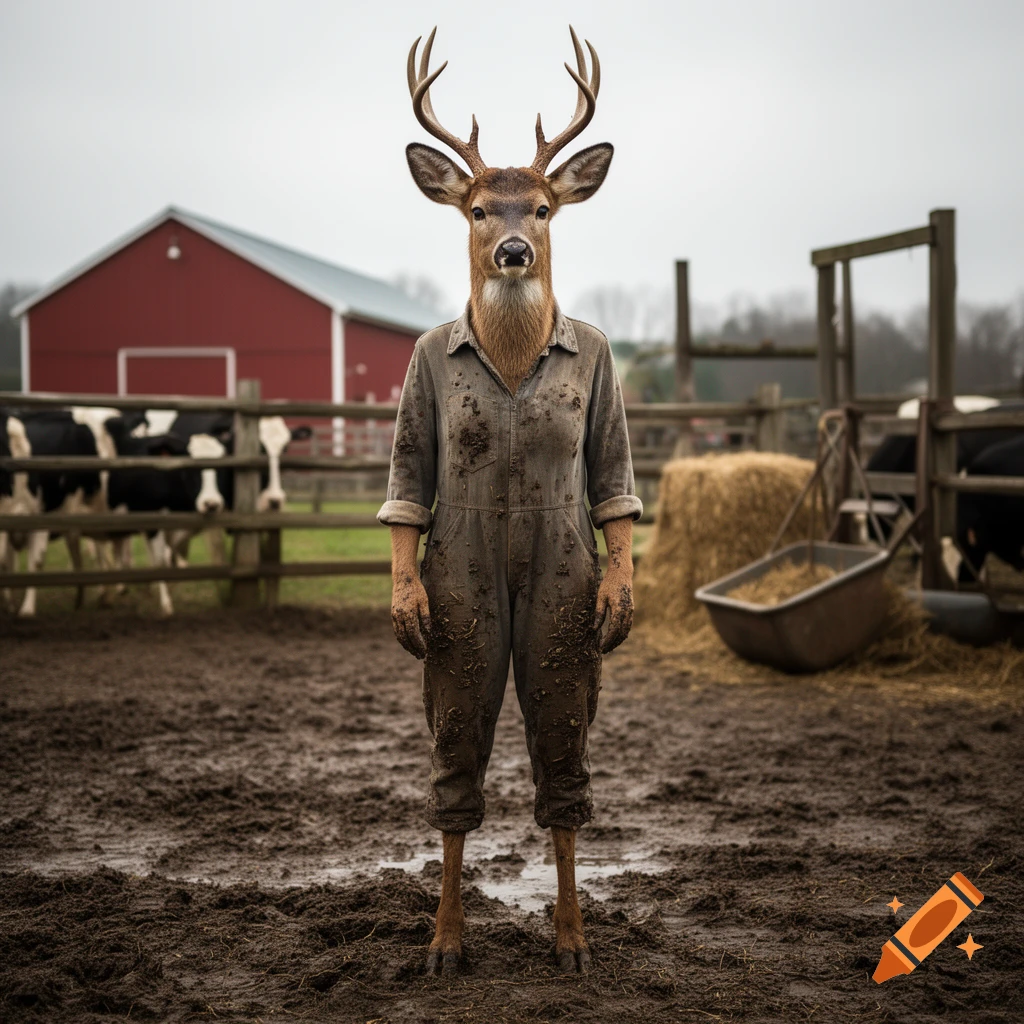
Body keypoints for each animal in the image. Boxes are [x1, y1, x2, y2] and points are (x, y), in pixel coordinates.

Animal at [381, 25, 641, 977]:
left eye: (544, 207)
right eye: (477, 209)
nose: (516, 251)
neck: (516, 357)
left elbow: (615, 489)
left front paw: (571, 940)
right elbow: (407, 491)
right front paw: (444, 944)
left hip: (561, 624)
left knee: (562, 777)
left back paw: (571, 941)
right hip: (467, 621)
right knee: (456, 777)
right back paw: (445, 942)